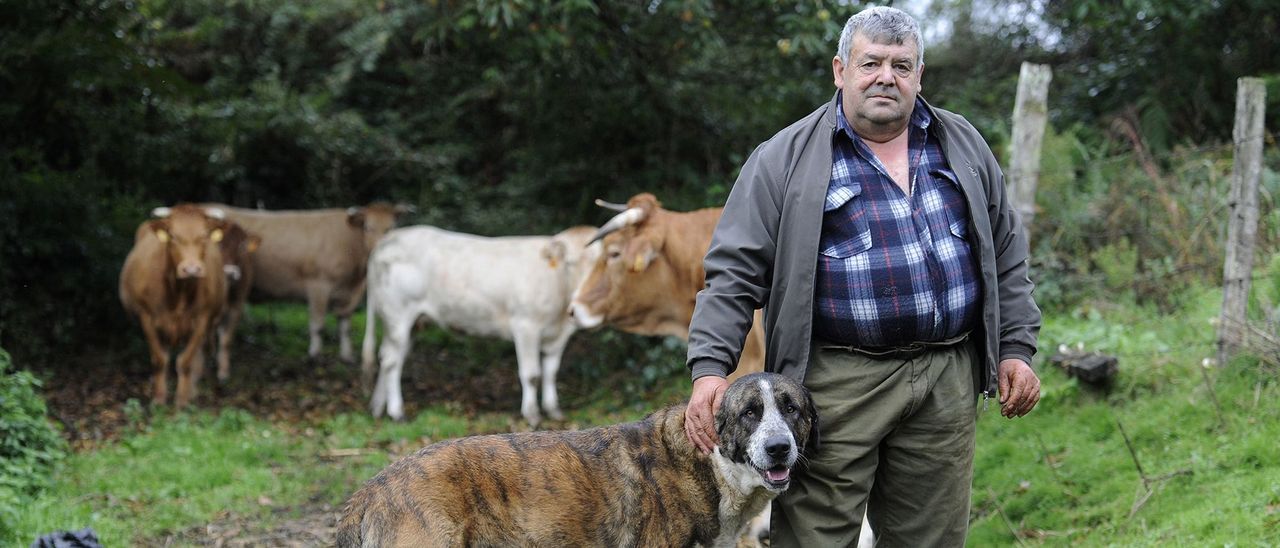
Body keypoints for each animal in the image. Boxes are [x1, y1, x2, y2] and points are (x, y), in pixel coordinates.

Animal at [120, 203, 230, 404]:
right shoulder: (146, 317)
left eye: (204, 235)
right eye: (173, 236)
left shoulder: (202, 319)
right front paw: (158, 399)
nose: (191, 269)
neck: (179, 293)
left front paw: (182, 401)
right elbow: (159, 359)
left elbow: (186, 361)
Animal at [209, 203, 409, 361]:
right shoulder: (318, 285)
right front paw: (314, 354)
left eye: (391, 227)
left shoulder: (349, 295)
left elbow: (345, 326)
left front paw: (346, 356)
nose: (380, 249)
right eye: (368, 227)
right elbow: (318, 324)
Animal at [360, 225, 599, 425]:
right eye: (570, 263)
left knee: (389, 356)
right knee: (391, 361)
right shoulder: (526, 326)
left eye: (602, 262)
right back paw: (396, 411)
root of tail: (389, 238)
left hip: (411, 324)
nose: (585, 291)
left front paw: (553, 410)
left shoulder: (559, 336)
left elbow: (551, 372)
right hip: (398, 315)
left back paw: (377, 407)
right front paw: (532, 414)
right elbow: (532, 374)